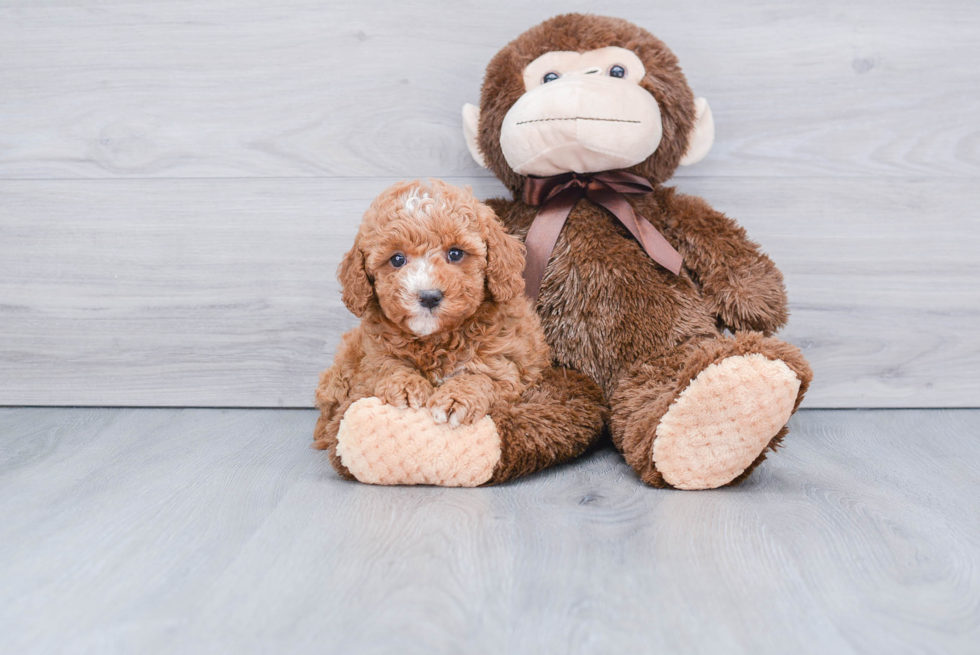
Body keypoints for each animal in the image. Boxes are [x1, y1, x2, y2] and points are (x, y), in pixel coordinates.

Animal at [316, 179, 552, 440]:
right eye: (397, 259)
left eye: (455, 253)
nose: (429, 296)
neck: (437, 340)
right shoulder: (372, 357)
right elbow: (387, 365)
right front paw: (405, 385)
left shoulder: (506, 365)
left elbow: (481, 377)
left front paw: (455, 398)